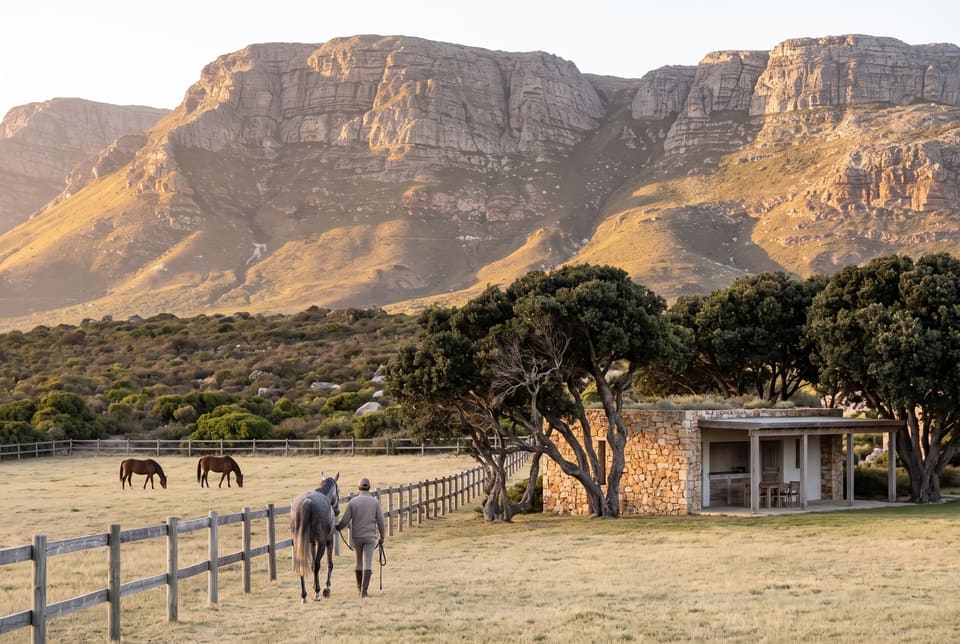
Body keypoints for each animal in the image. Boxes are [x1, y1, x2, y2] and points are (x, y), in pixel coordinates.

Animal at [290, 472, 340, 603]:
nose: (337, 510)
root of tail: (307, 503)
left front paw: (314, 585)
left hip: (299, 542)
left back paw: (304, 595)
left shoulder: (311, 542)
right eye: (338, 490)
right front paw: (326, 588)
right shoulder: (328, 541)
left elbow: (312, 565)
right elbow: (329, 564)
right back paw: (317, 593)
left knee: (302, 564)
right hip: (322, 543)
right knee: (318, 564)